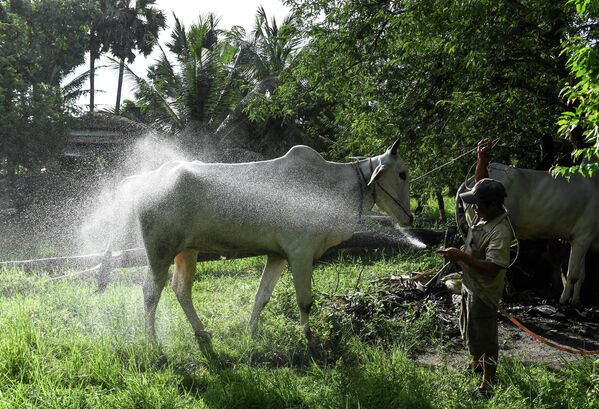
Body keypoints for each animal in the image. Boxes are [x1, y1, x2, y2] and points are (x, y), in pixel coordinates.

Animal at [104, 140, 412, 348]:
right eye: (403, 174)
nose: (409, 217)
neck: (332, 184)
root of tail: (145, 179)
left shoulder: (278, 256)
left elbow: (261, 296)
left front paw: (250, 333)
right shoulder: (300, 254)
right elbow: (305, 301)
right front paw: (308, 337)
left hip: (187, 251)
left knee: (181, 289)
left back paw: (201, 332)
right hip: (160, 252)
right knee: (150, 292)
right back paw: (154, 345)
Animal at [460, 163, 599, 302]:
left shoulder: (584, 241)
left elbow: (581, 275)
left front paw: (575, 301)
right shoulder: (581, 237)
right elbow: (573, 275)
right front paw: (564, 301)